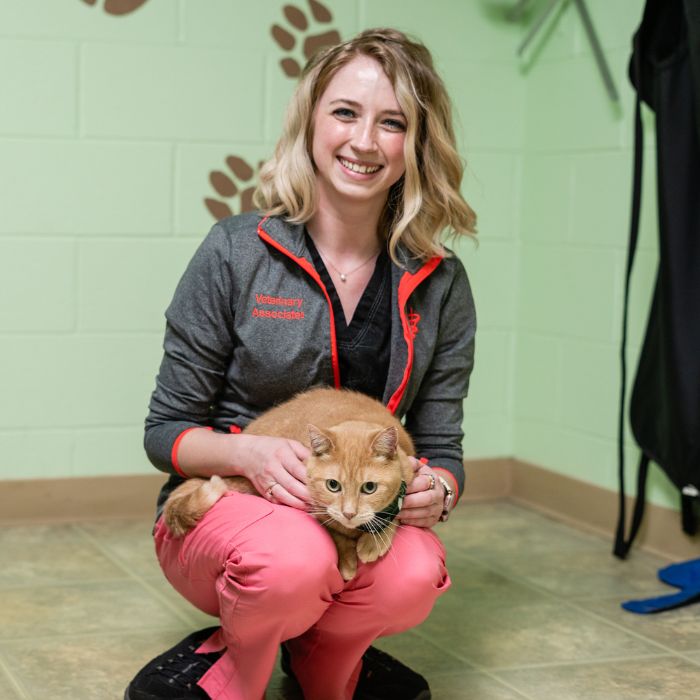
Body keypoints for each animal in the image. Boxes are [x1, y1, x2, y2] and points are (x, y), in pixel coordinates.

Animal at [164, 388, 416, 580]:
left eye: (369, 488)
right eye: (333, 485)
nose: (349, 513)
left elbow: (395, 512)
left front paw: (374, 542)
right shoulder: (313, 507)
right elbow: (335, 534)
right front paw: (347, 561)